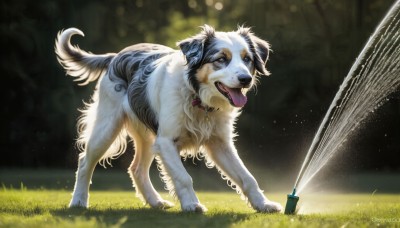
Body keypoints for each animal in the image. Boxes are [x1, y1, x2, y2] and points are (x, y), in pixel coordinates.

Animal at [54, 25, 282, 214]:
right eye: (221, 59)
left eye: (247, 59)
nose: (246, 79)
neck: (198, 99)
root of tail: (116, 56)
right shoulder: (166, 142)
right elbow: (184, 177)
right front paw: (192, 204)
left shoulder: (220, 143)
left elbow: (247, 177)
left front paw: (264, 205)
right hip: (107, 127)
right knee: (85, 162)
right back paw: (78, 201)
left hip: (147, 138)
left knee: (136, 169)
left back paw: (156, 202)